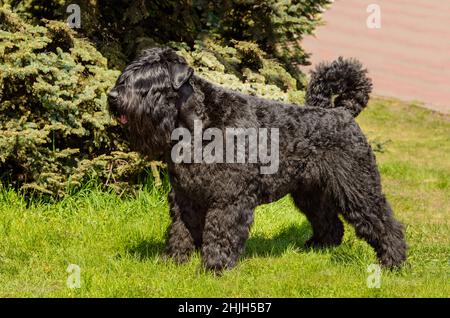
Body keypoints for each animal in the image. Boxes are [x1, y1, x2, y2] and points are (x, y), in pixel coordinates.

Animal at [109, 47, 408, 270]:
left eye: (149, 82)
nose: (112, 96)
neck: (198, 123)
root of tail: (342, 112)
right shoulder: (185, 195)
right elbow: (181, 230)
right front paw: (173, 261)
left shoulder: (228, 197)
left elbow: (220, 232)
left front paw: (214, 268)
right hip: (310, 192)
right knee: (329, 221)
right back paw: (317, 248)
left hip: (357, 186)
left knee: (383, 221)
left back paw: (393, 262)